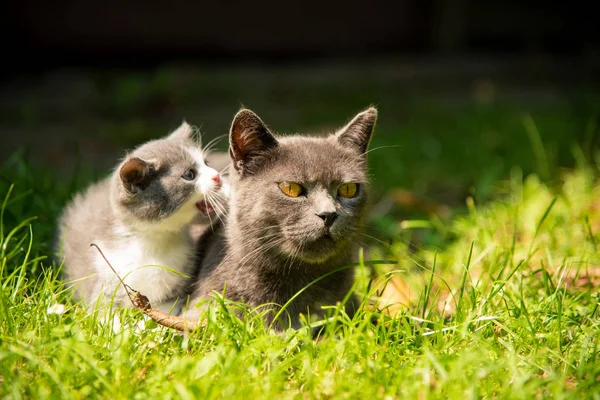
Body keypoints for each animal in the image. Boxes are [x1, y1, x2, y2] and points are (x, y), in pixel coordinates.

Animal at [58, 122, 227, 312]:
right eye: (189, 174)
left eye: (206, 163)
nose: (217, 175)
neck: (154, 243)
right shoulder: (104, 277)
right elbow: (105, 313)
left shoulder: (176, 288)